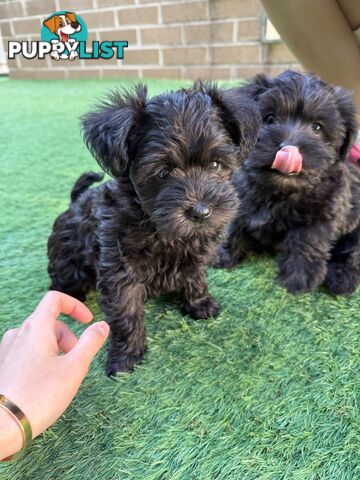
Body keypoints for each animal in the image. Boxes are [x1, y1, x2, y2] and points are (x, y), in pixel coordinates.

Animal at [48, 83, 262, 376]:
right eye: (163, 173)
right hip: (67, 260)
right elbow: (126, 313)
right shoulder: (119, 269)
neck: (159, 228)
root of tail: (73, 203)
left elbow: (195, 277)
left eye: (216, 165)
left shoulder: (196, 254)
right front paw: (125, 357)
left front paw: (200, 304)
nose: (201, 212)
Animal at [217, 70, 360, 296]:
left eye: (317, 128)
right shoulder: (242, 196)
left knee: (353, 252)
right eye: (270, 119)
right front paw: (224, 253)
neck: (280, 190)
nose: (288, 147)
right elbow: (235, 224)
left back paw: (342, 276)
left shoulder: (320, 216)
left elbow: (306, 242)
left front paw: (297, 280)